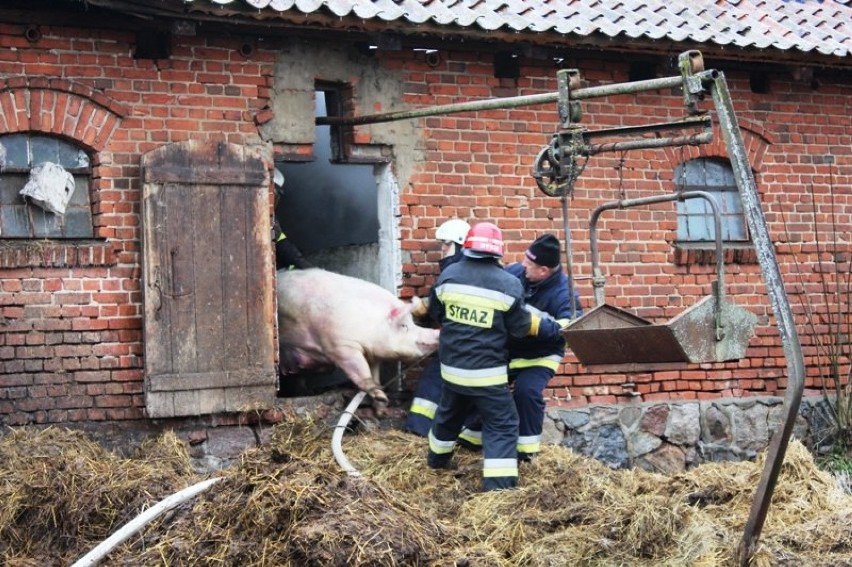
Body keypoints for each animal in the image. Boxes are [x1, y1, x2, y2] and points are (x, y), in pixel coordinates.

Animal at [278, 268, 440, 406]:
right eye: (404, 326)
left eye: (412, 323)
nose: (438, 332)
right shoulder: (340, 346)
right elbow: (361, 370)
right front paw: (382, 398)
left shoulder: (372, 354)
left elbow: (374, 372)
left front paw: (380, 401)